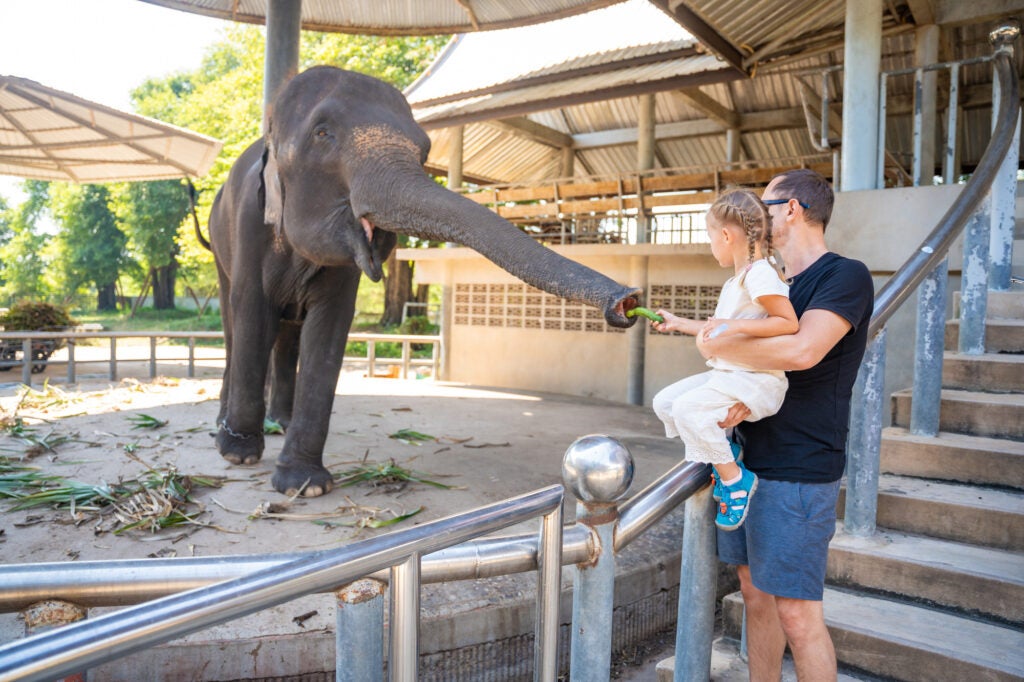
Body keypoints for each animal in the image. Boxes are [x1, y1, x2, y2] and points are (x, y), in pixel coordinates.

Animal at [206, 66, 638, 497]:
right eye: (322, 133)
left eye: (425, 150)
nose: (628, 300)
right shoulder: (250, 226)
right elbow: (253, 316)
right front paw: (239, 455)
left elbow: (329, 329)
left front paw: (305, 485)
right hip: (219, 248)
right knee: (233, 323)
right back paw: (229, 429)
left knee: (289, 334)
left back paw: (281, 421)